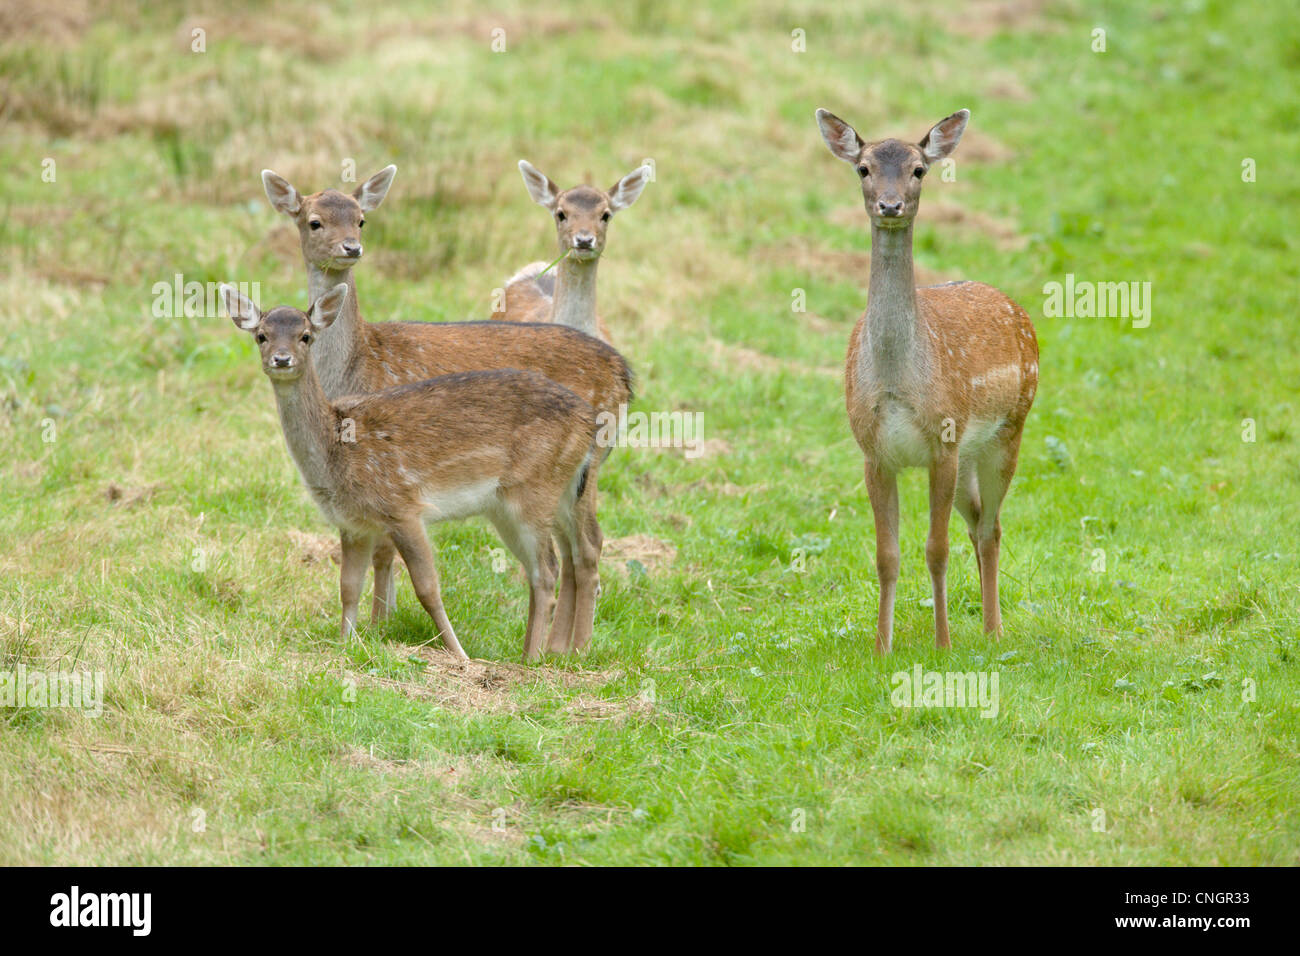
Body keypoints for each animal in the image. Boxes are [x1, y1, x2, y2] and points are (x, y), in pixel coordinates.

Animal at [220, 280, 600, 660]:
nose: (282, 359)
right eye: (262, 335)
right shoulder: (353, 524)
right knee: (557, 561)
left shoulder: (402, 506)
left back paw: (531, 659)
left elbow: (427, 589)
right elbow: (348, 586)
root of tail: (587, 420)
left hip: (532, 491)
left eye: (305, 335)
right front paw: (345, 644)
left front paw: (460, 656)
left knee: (548, 569)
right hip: (529, 501)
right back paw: (534, 654)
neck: (336, 454)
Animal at [258, 166, 629, 658]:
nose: (350, 248)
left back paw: (572, 649)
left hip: (581, 469)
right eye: (314, 221)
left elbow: (385, 551)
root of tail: (624, 372)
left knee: (584, 546)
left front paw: (380, 625)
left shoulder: (392, 476)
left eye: (361, 219)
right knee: (576, 547)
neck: (354, 367)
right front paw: (379, 624)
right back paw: (558, 649)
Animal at [816, 108, 1040, 655]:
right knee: (977, 520)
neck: (900, 382)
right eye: (864, 168)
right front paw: (882, 646)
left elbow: (935, 548)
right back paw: (985, 624)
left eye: (918, 169)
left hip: (1009, 428)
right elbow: (886, 555)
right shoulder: (874, 451)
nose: (890, 204)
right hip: (970, 455)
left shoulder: (944, 439)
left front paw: (942, 642)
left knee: (991, 527)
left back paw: (993, 629)